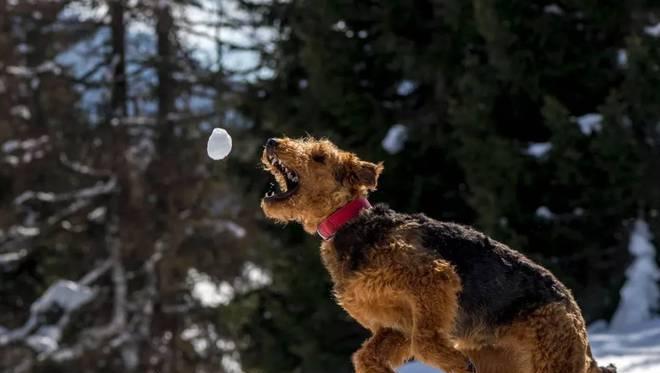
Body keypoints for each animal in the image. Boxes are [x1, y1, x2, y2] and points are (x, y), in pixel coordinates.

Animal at [258, 137, 612, 372]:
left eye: (319, 156)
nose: (272, 141)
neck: (351, 224)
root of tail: (574, 309)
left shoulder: (433, 279)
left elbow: (426, 340)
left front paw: (456, 364)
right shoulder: (394, 326)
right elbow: (366, 356)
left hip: (551, 355)